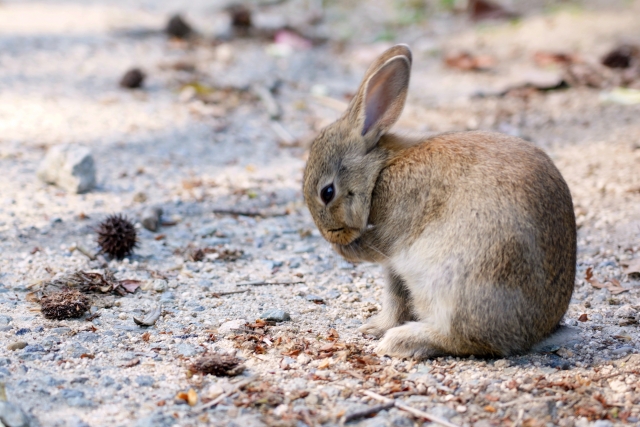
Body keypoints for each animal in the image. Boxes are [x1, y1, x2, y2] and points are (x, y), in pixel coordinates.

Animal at [302, 43, 576, 360]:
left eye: (327, 192)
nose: (332, 236)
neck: (381, 168)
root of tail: (533, 334)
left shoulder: (397, 223)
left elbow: (380, 245)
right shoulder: (394, 271)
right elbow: (396, 300)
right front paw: (372, 328)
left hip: (454, 283)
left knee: (462, 339)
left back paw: (400, 342)